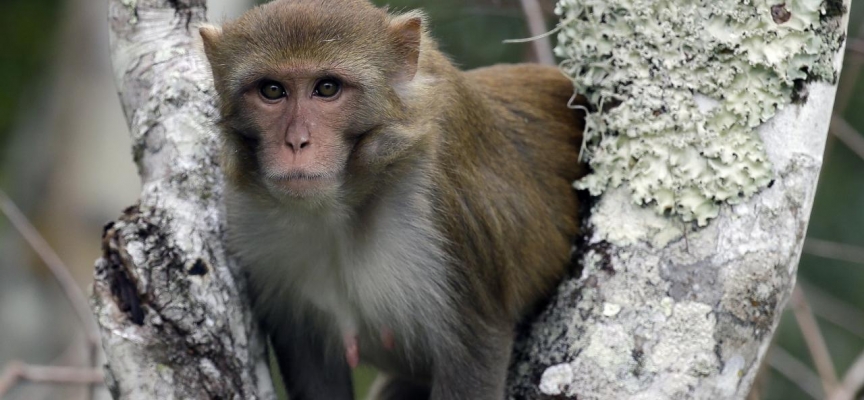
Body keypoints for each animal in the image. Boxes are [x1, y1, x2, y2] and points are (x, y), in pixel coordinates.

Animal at [197, 1, 588, 398]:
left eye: (327, 88)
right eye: (272, 90)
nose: (296, 143)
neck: (339, 208)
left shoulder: (445, 208)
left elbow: (477, 347)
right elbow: (312, 366)